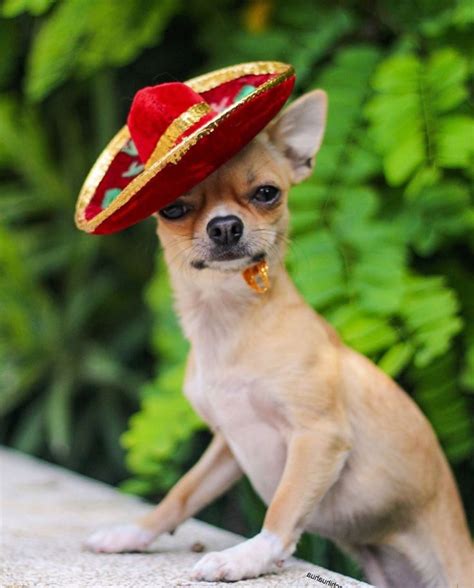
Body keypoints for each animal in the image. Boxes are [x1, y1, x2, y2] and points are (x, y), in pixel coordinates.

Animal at [86, 89, 474, 584]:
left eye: (267, 193)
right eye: (173, 208)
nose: (225, 225)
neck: (228, 321)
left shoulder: (318, 436)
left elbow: (284, 507)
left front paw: (244, 557)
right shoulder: (227, 446)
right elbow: (183, 492)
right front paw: (135, 532)